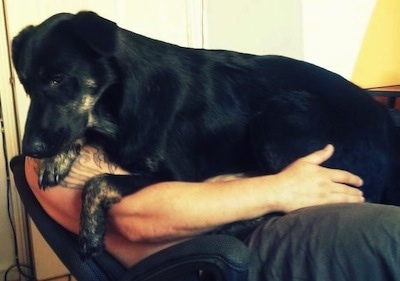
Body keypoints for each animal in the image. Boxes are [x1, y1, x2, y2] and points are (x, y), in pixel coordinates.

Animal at [11, 10, 400, 256]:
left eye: (58, 79)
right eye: (26, 86)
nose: (30, 149)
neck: (121, 101)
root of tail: (383, 120)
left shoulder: (175, 175)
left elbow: (98, 180)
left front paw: (89, 229)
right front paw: (56, 160)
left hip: (280, 114)